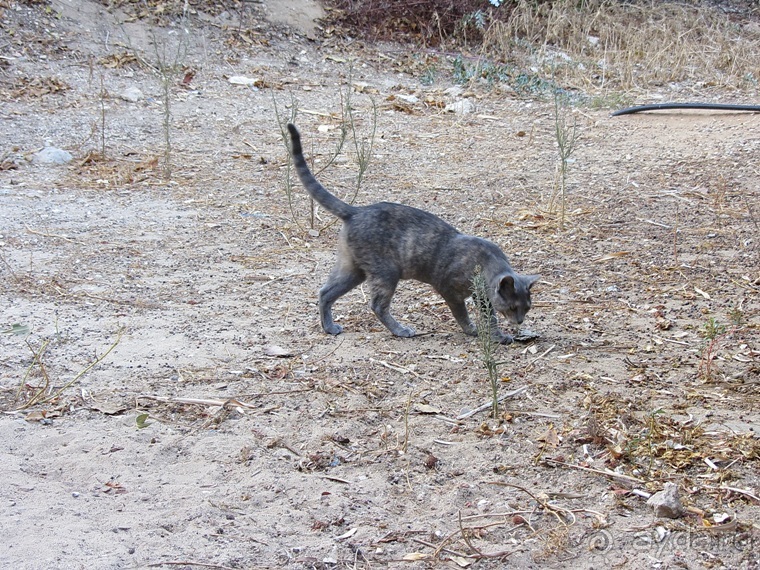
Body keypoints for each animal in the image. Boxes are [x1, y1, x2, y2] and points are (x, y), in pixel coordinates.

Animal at [286, 121, 540, 342]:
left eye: (527, 308)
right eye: (512, 307)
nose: (519, 321)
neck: (487, 263)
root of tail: (357, 211)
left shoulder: (482, 296)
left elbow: (491, 318)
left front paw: (498, 336)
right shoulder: (448, 289)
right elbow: (462, 314)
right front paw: (472, 330)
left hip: (353, 269)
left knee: (325, 292)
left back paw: (329, 327)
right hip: (386, 272)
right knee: (376, 305)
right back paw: (401, 330)